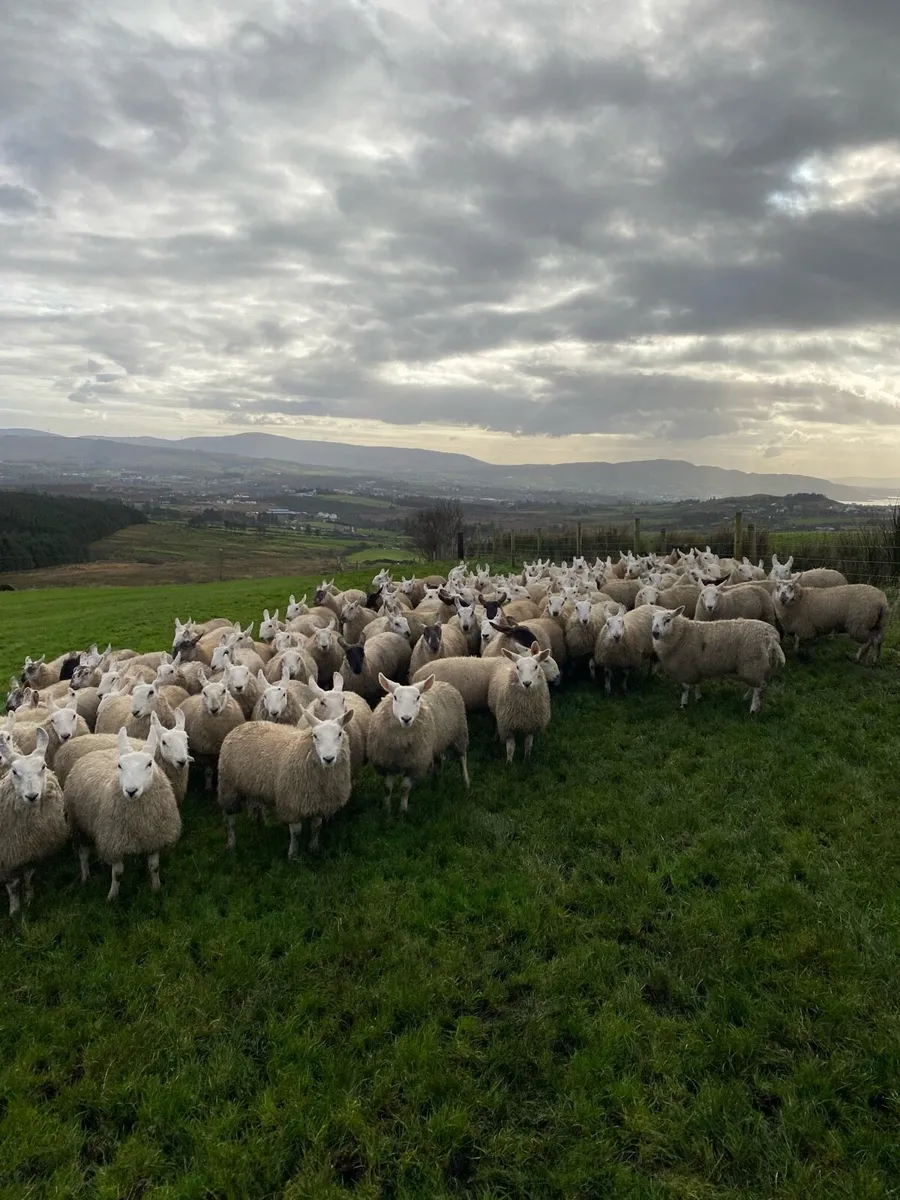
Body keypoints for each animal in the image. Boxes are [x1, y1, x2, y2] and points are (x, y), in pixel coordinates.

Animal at [0, 728, 69, 916]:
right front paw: (15, 910)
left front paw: (29, 898)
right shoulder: (7, 858)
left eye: (43, 766)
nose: (32, 796)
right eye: (14, 771)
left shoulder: (31, 850)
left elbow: (29, 876)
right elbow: (13, 885)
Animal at [64, 726, 181, 901]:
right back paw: (85, 877)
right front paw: (112, 897)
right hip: (78, 825)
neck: (138, 820)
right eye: (119, 766)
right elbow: (118, 874)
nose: (131, 791)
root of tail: (97, 752)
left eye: (149, 764)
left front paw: (156, 888)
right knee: (83, 854)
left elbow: (154, 867)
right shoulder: (115, 842)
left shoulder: (154, 838)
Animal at [217, 709, 354, 857]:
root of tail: (243, 725)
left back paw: (261, 823)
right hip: (228, 787)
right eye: (315, 735)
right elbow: (296, 832)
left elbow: (316, 827)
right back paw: (232, 844)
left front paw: (313, 847)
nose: (328, 759)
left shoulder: (319, 802)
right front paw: (293, 854)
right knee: (230, 821)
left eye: (339, 734)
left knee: (258, 805)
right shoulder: (291, 803)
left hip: (255, 785)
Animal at [367, 673, 469, 812]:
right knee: (439, 760)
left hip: (460, 733)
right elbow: (387, 788)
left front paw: (403, 810)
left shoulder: (415, 764)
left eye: (418, 697)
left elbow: (404, 789)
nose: (406, 719)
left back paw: (466, 781)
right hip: (437, 742)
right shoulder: (388, 763)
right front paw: (386, 809)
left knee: (462, 758)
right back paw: (437, 780)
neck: (401, 740)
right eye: (395, 697)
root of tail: (443, 682)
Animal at [650, 608, 785, 714]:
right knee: (755, 685)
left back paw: (753, 709)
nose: (655, 633)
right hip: (758, 666)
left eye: (667, 620)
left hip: (753, 663)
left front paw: (684, 704)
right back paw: (746, 698)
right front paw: (698, 698)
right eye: (653, 620)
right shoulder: (696, 666)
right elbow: (697, 683)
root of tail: (771, 636)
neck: (681, 633)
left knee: (759, 688)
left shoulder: (685, 667)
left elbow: (685, 688)